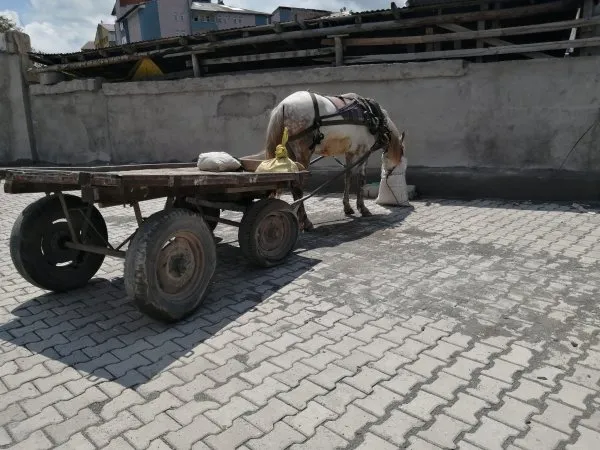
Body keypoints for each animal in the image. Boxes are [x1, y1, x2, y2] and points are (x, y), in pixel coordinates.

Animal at [251, 90, 406, 232]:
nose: (390, 172)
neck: (373, 115)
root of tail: (283, 105)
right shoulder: (364, 152)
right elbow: (361, 180)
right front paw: (363, 208)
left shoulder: (349, 153)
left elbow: (348, 177)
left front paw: (347, 207)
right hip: (303, 153)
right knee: (298, 186)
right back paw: (305, 221)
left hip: (290, 154)